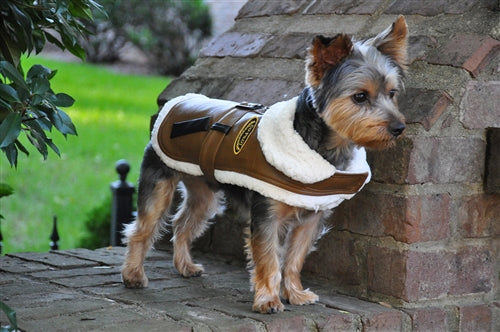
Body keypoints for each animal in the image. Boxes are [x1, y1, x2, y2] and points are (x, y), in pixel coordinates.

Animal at [121, 16, 406, 314]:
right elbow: (269, 259)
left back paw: (185, 266)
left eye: (392, 93)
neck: (322, 147)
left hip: (203, 189)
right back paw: (133, 275)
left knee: (182, 222)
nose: (399, 128)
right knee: (142, 228)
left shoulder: (311, 217)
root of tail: (176, 103)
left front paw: (295, 293)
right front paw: (268, 299)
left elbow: (294, 258)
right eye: (360, 96)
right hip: (159, 180)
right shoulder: (267, 215)